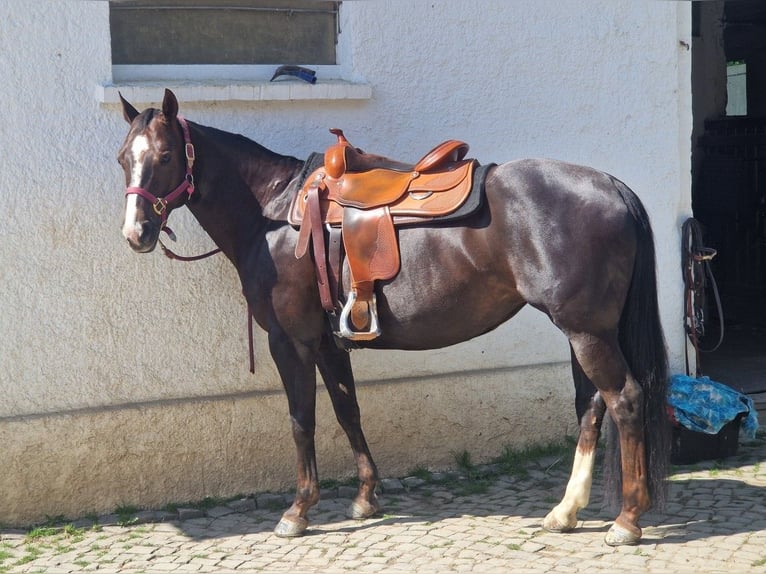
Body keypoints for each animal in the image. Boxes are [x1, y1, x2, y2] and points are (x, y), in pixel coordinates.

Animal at [115, 90, 672, 548]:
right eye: (124, 159)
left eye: (165, 156)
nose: (136, 233)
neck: (273, 214)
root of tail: (612, 186)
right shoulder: (327, 342)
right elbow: (347, 411)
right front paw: (366, 497)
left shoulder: (291, 340)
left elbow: (301, 419)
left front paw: (298, 510)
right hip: (586, 331)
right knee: (592, 407)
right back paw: (565, 512)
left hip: (586, 331)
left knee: (625, 400)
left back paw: (627, 521)